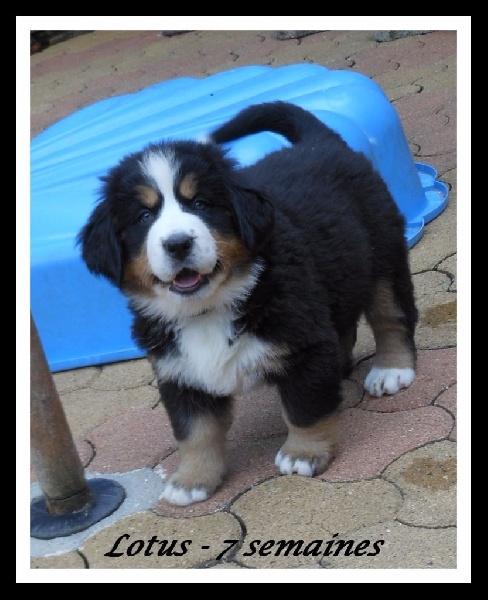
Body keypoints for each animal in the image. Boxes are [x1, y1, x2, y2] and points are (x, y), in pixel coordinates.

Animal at [78, 100, 418, 506]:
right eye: (144, 216)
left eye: (201, 204)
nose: (177, 244)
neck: (207, 309)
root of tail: (319, 141)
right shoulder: (178, 372)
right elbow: (194, 431)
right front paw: (191, 480)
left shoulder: (303, 344)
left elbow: (305, 408)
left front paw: (303, 454)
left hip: (384, 255)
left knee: (391, 315)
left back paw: (391, 370)